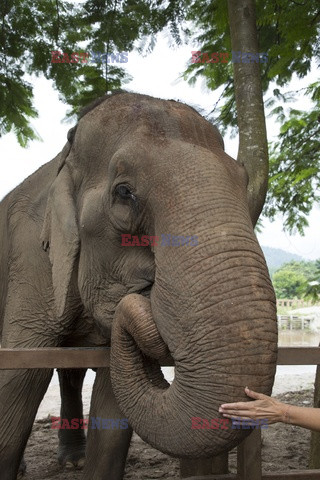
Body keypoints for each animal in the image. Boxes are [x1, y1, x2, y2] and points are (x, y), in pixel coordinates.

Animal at [0, 91, 278, 480]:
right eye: (124, 193)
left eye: (243, 181)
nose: (144, 294)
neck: (65, 159)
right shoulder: (31, 261)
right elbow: (18, 380)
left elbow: (113, 408)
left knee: (71, 371)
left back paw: (73, 461)